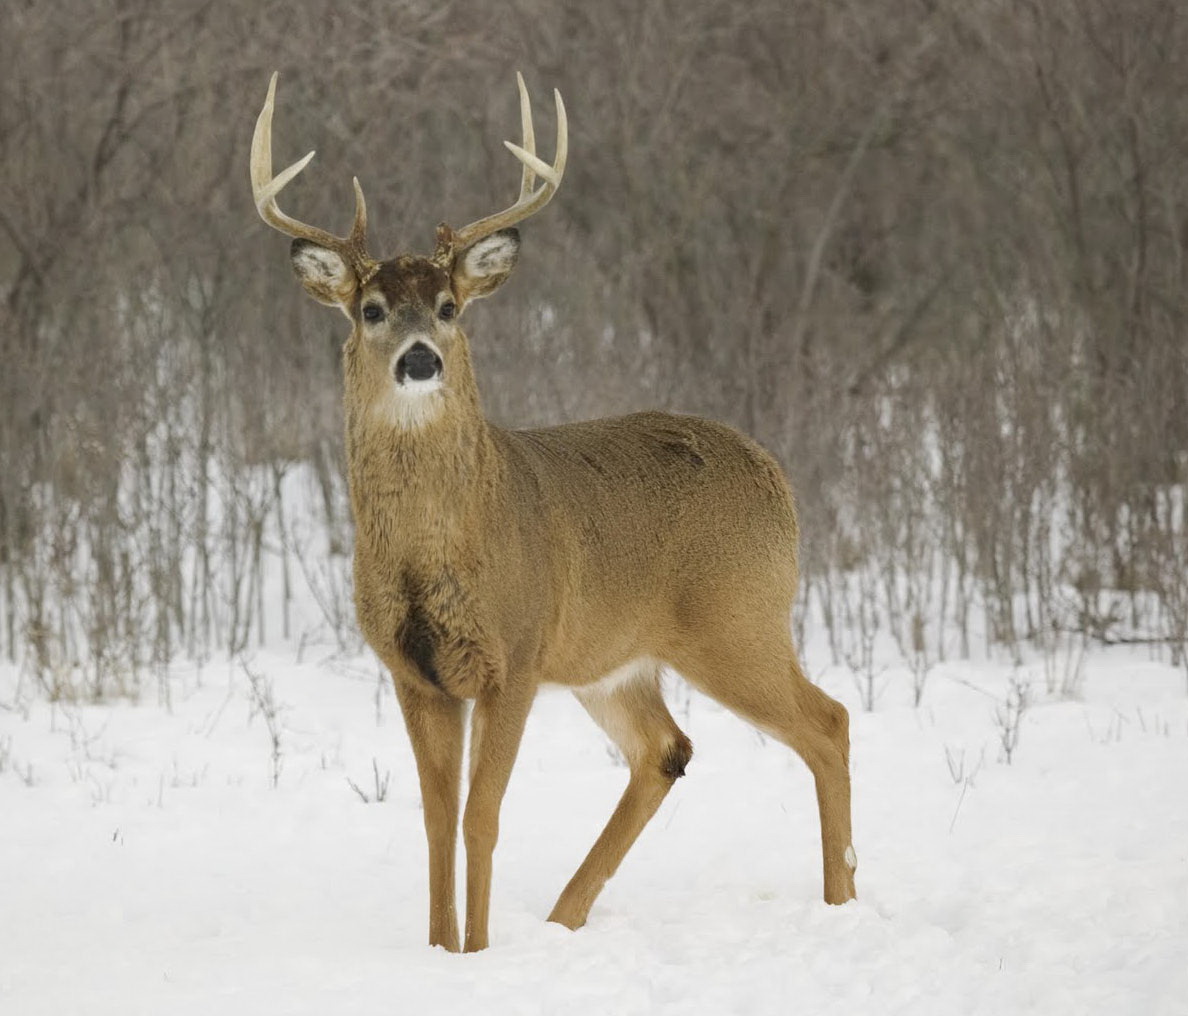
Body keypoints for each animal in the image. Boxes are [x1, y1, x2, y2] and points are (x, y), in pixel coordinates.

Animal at [250, 71, 856, 953]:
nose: (421, 359)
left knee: (828, 722)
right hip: (616, 660)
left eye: (448, 306)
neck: (438, 550)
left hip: (737, 620)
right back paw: (565, 920)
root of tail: (775, 475)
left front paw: (475, 952)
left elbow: (482, 819)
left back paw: (842, 903)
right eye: (371, 309)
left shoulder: (517, 654)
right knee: (667, 749)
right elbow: (435, 822)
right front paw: (440, 950)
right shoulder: (414, 672)